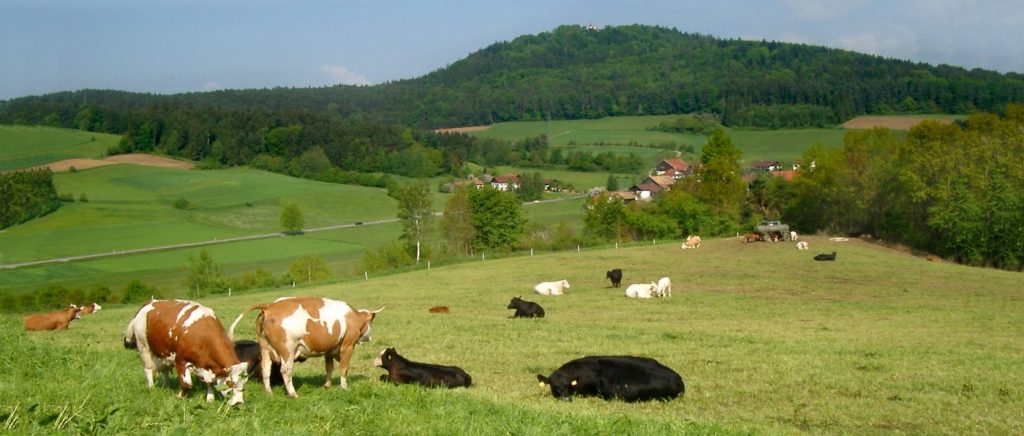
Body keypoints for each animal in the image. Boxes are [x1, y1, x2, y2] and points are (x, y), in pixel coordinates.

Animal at [228, 298, 385, 397]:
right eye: (371, 322)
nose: (369, 336)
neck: (353, 317)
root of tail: (269, 307)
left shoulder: (329, 350)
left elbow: (329, 368)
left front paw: (327, 385)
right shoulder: (347, 346)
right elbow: (344, 369)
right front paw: (344, 387)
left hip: (265, 348)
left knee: (266, 369)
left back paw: (269, 393)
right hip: (287, 350)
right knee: (285, 371)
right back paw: (292, 393)